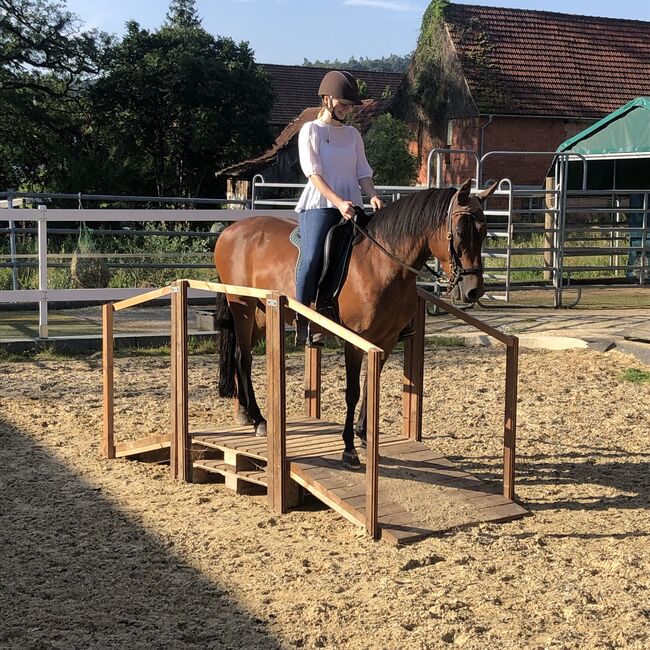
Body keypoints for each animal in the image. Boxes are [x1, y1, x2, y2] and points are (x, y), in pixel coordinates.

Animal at [214, 178, 496, 466]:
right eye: (460, 233)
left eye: (484, 232)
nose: (473, 290)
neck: (382, 263)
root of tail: (230, 231)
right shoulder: (356, 340)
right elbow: (354, 391)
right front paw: (348, 448)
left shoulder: (385, 340)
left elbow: (372, 386)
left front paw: (364, 437)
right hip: (244, 307)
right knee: (243, 357)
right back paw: (259, 419)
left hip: (261, 314)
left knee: (240, 355)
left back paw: (245, 413)